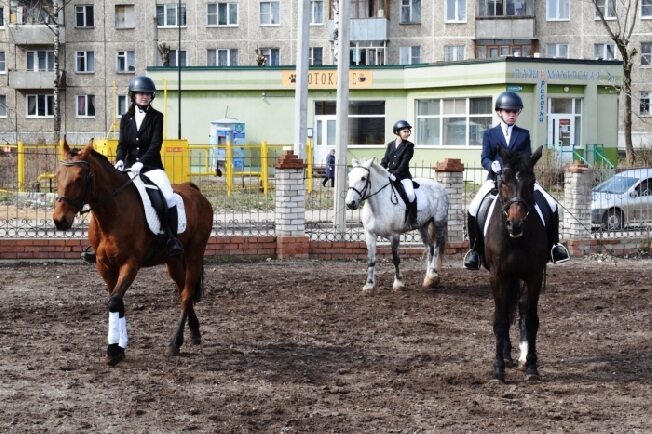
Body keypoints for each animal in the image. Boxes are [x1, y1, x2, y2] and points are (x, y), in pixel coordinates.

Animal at [52, 139, 214, 366]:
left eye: (79, 178)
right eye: (57, 175)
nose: (60, 221)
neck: (111, 214)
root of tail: (196, 192)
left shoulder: (130, 264)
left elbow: (114, 302)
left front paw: (113, 350)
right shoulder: (104, 265)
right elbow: (117, 302)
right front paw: (120, 347)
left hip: (194, 254)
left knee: (187, 293)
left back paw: (175, 342)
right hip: (173, 261)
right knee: (183, 289)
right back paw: (194, 332)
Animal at [346, 157, 448, 292]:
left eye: (363, 178)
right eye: (349, 176)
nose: (350, 203)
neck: (377, 206)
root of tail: (439, 186)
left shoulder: (394, 235)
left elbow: (396, 259)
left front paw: (398, 283)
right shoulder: (370, 235)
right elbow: (371, 260)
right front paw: (369, 284)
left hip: (439, 222)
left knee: (436, 248)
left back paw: (433, 275)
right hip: (423, 227)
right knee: (430, 248)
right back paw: (428, 279)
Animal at [484, 147, 552, 384]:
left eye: (531, 182)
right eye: (503, 181)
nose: (515, 224)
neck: (514, 239)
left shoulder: (534, 276)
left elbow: (530, 319)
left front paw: (531, 366)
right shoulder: (497, 276)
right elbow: (500, 320)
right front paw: (498, 369)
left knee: (521, 309)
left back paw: (522, 357)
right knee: (506, 311)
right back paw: (506, 356)